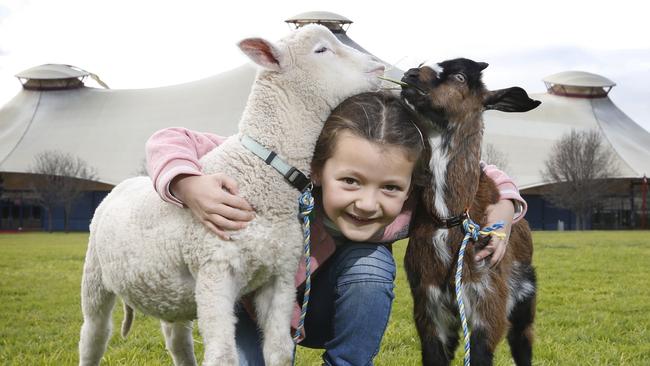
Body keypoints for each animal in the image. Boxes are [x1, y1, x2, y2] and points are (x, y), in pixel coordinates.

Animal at [79, 25, 384, 366]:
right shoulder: (215, 270)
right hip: (94, 277)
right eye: (321, 50)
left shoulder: (279, 275)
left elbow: (279, 349)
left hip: (170, 292)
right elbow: (224, 355)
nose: (378, 66)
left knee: (177, 339)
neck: (260, 170)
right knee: (94, 334)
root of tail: (124, 184)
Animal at [400, 58, 536, 364]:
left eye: (460, 77)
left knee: (523, 342)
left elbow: (482, 353)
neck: (450, 219)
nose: (410, 74)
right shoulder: (428, 306)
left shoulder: (489, 301)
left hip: (525, 296)